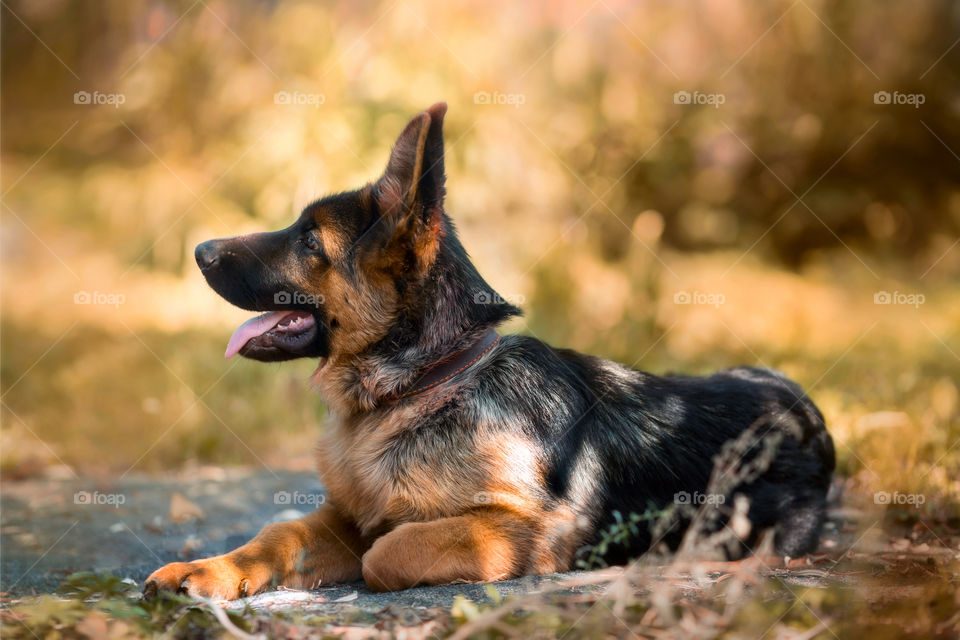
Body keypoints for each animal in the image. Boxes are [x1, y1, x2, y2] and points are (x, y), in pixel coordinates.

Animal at [142, 102, 832, 596]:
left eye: (310, 241)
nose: (199, 250)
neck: (420, 383)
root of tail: (804, 406)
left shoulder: (531, 529)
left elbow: (385, 551)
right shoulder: (342, 514)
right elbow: (279, 531)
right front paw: (208, 569)